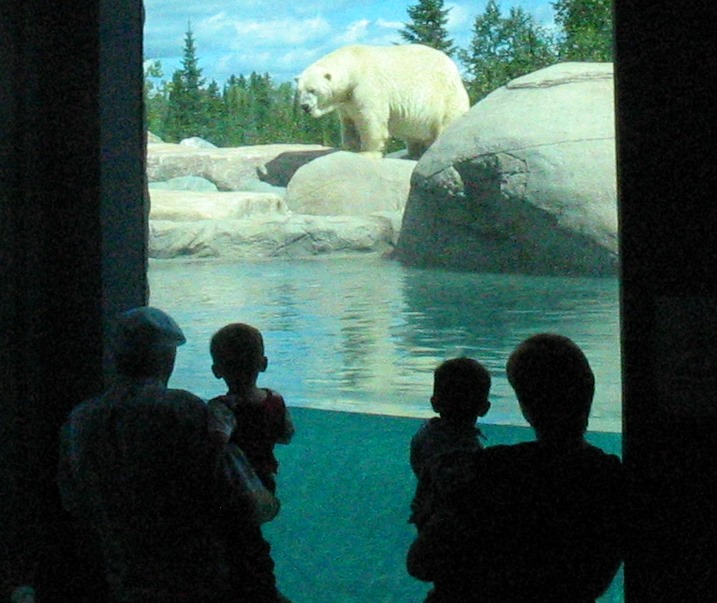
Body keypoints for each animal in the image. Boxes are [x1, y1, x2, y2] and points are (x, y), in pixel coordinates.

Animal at [294, 44, 468, 159]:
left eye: (312, 90)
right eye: (300, 91)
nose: (305, 107)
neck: (354, 65)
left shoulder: (368, 87)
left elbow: (371, 120)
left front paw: (367, 153)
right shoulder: (346, 101)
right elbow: (348, 122)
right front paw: (349, 148)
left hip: (446, 98)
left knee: (446, 123)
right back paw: (412, 154)